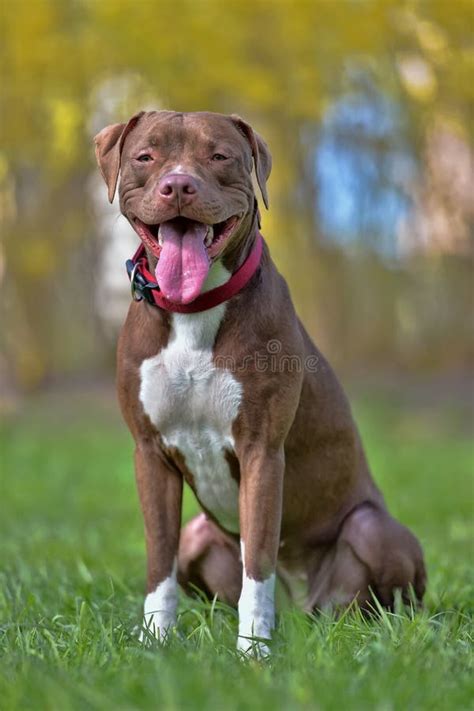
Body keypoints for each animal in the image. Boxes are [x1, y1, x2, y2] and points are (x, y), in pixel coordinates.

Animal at [93, 110, 426, 656]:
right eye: (145, 156)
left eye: (219, 155)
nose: (177, 184)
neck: (194, 310)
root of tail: (301, 611)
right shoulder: (150, 452)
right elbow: (159, 560)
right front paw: (156, 641)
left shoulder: (262, 450)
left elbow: (259, 559)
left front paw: (253, 651)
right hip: (199, 534)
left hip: (371, 530)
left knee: (382, 592)